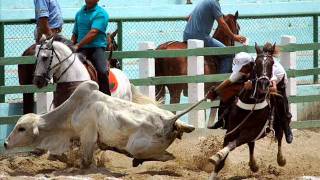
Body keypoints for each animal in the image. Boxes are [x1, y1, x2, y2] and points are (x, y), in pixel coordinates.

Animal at [3, 81, 204, 168]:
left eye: (21, 128)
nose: (5, 143)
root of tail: (170, 121)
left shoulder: (88, 137)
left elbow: (85, 161)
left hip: (136, 147)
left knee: (166, 156)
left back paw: (136, 160)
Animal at [209, 43, 286, 179]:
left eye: (272, 63)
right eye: (256, 63)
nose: (264, 84)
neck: (250, 102)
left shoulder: (253, 131)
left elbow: (233, 144)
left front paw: (218, 154)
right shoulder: (231, 130)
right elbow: (224, 156)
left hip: (277, 122)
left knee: (280, 135)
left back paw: (280, 159)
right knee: (252, 144)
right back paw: (253, 165)